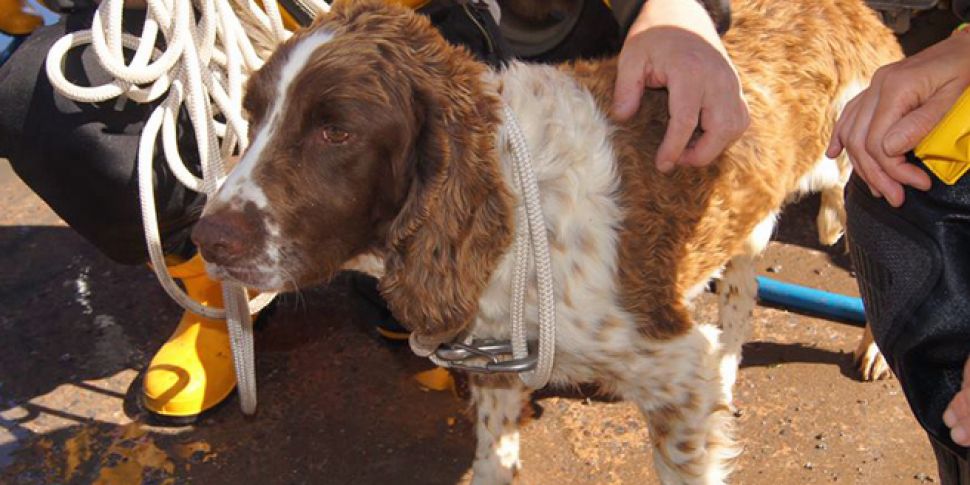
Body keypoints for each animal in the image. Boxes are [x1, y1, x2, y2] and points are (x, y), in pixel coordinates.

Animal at [189, 1, 900, 482]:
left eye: (335, 132)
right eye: (251, 115)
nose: (205, 239)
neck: (510, 210)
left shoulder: (677, 378)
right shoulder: (497, 362)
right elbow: (493, 456)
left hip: (864, 165)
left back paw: (874, 346)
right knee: (744, 285)